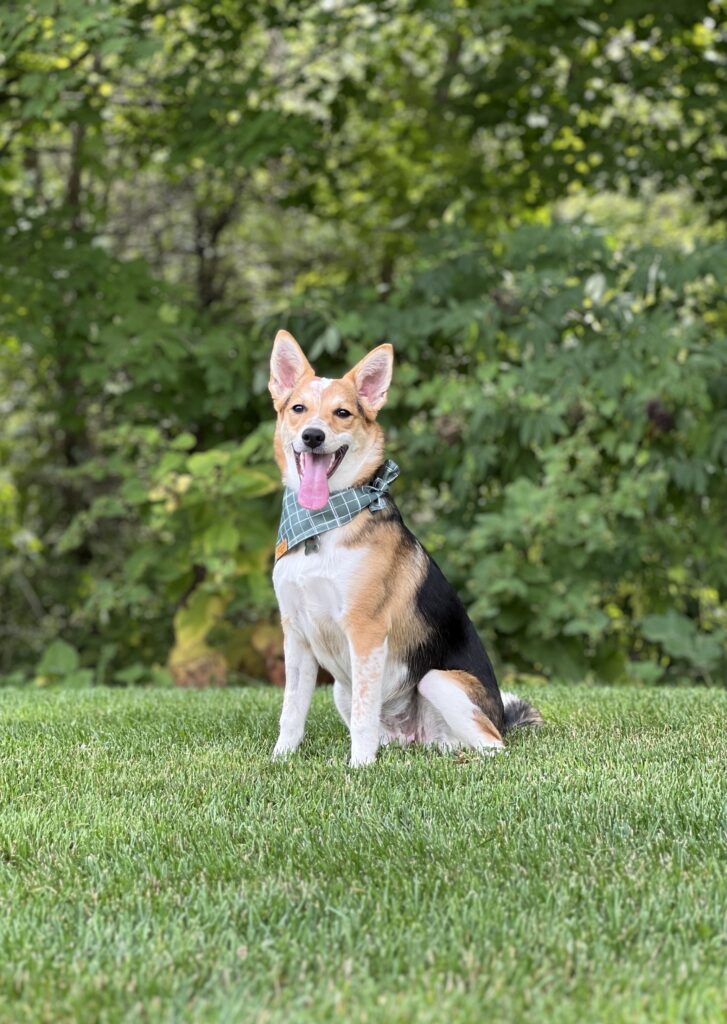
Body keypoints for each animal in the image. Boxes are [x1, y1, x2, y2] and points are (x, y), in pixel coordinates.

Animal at [268, 331, 540, 765]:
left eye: (342, 413)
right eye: (298, 408)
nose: (313, 435)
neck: (322, 525)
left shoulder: (365, 632)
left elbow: (363, 713)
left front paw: (360, 767)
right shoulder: (296, 637)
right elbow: (291, 712)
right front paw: (282, 759)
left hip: (437, 681)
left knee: (492, 745)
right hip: (342, 688)